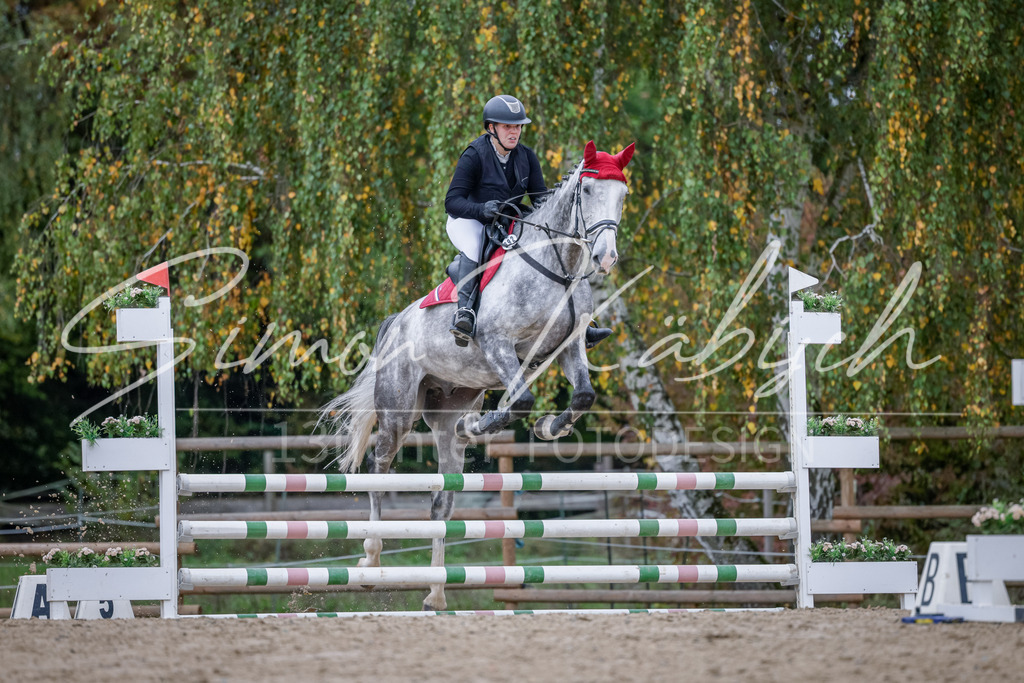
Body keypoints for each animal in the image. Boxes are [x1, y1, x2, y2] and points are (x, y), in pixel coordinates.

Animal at [320, 140, 634, 610]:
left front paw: (547, 427)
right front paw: (488, 423)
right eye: (590, 189)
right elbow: (520, 400)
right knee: (379, 468)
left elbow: (582, 397)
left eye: (622, 195)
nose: (606, 257)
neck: (556, 268)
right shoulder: (499, 345)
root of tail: (396, 322)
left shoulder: (569, 347)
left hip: (447, 413)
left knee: (441, 502)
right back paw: (371, 562)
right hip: (397, 412)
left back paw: (435, 594)